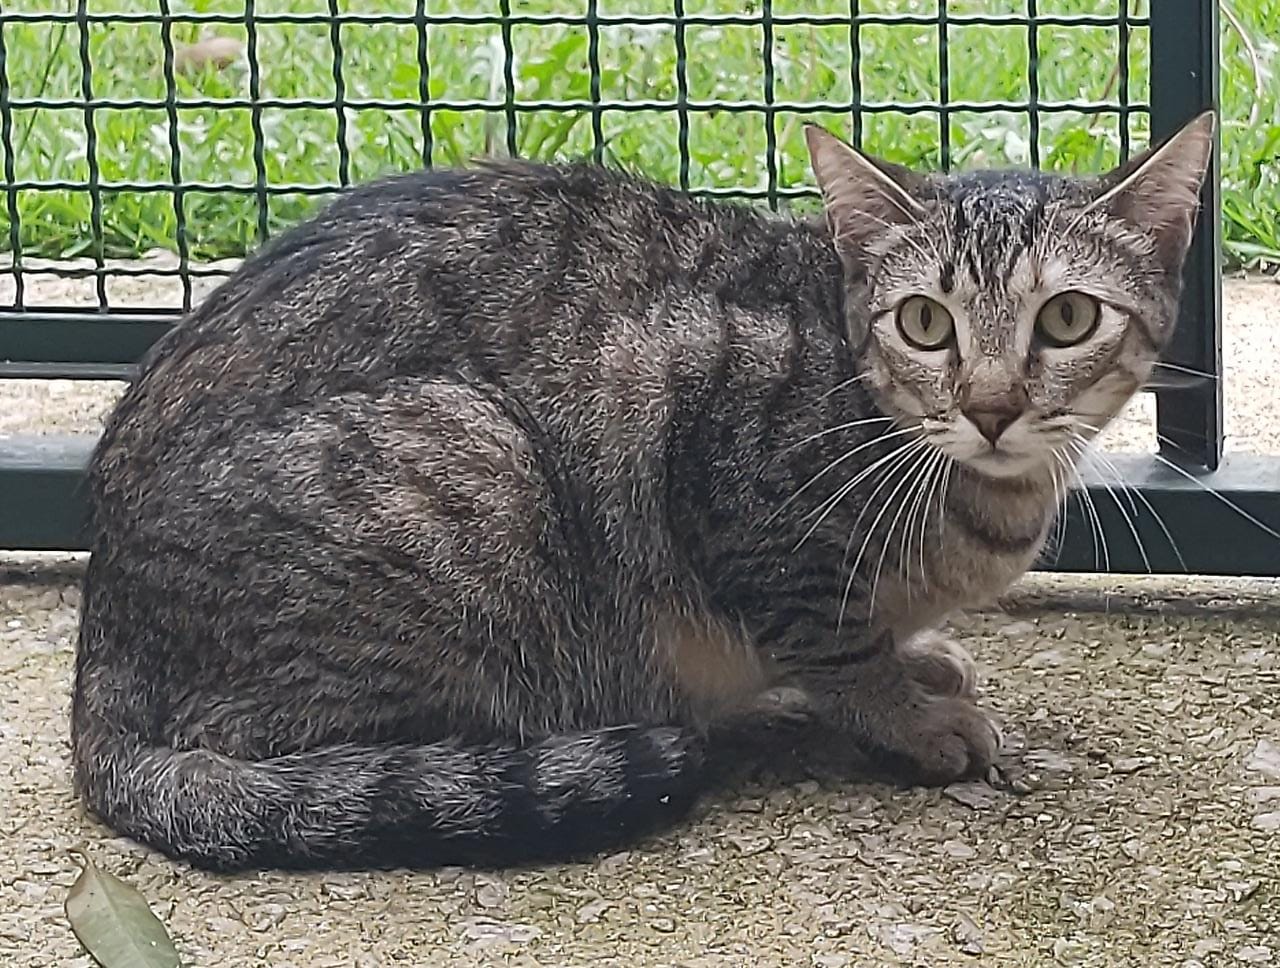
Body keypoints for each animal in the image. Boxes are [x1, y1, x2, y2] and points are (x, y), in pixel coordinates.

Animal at [74, 111, 1213, 870]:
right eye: (925, 323)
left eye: (1066, 318)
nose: (989, 406)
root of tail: (100, 656)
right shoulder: (713, 458)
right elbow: (831, 642)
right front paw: (906, 711)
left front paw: (920, 657)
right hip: (475, 464)